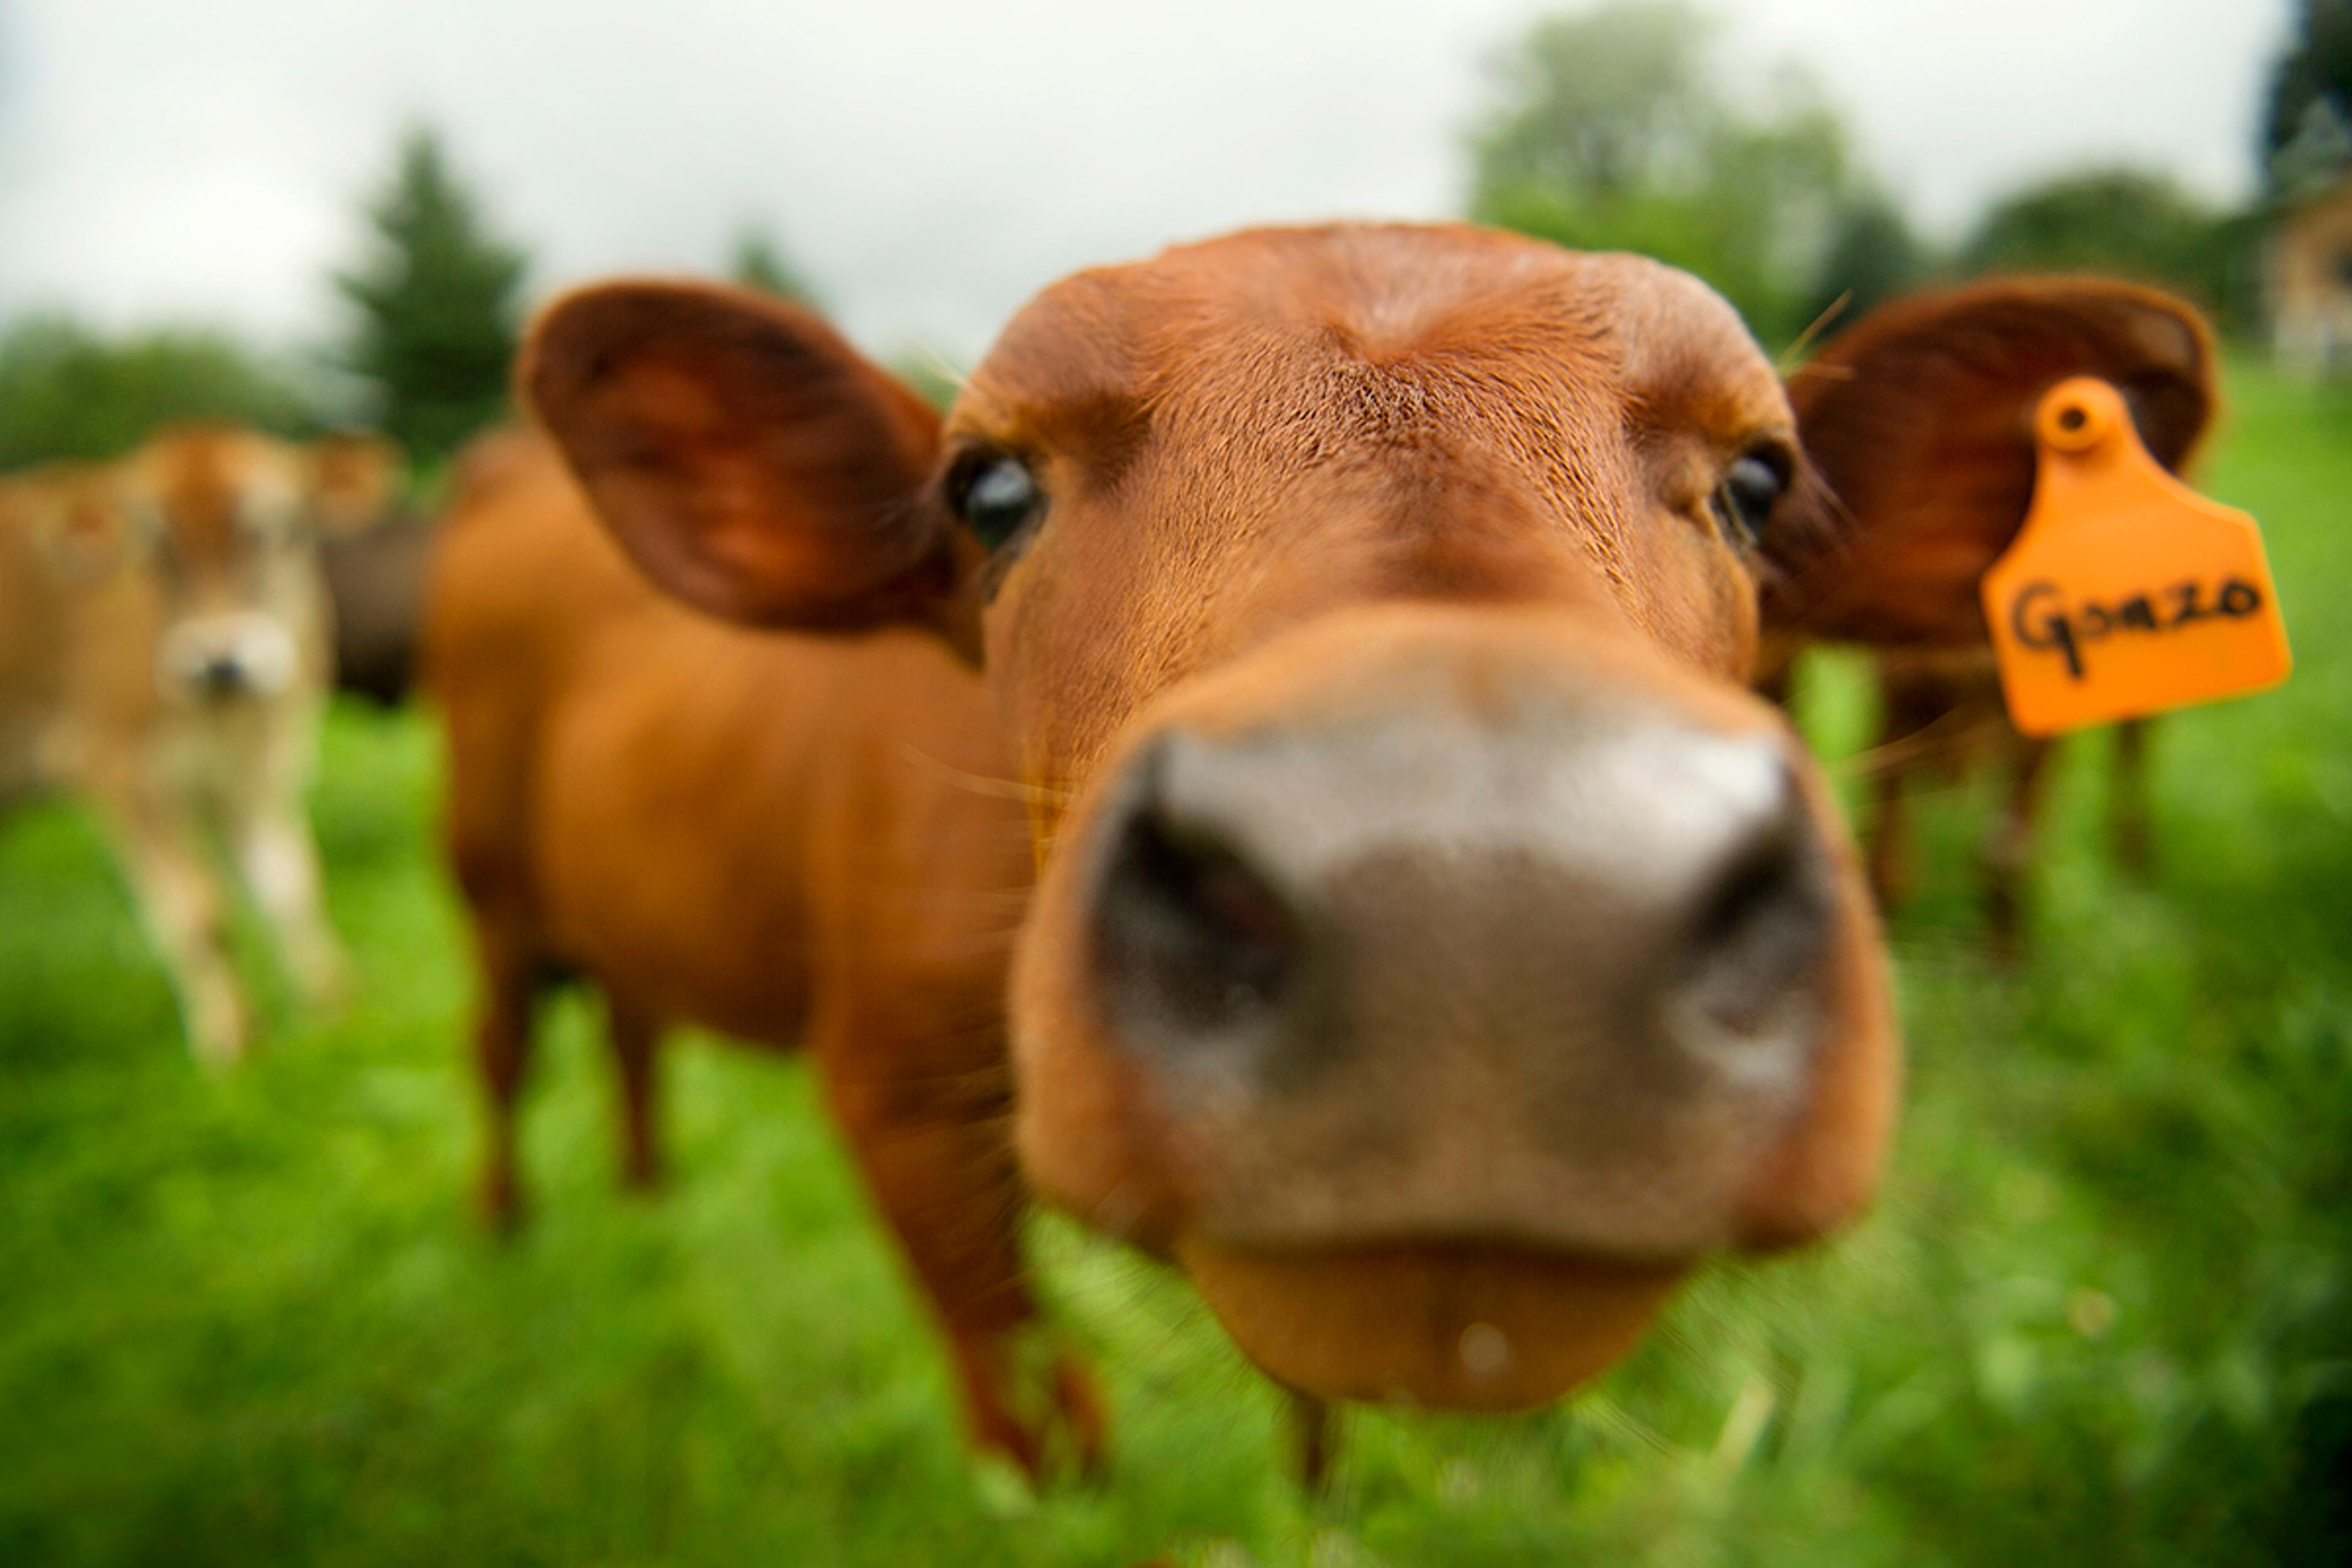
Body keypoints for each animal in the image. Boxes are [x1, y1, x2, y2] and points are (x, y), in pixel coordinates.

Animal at [0, 430, 371, 1062]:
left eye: (281, 526)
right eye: (155, 544)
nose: (221, 662)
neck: (228, 719)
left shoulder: (256, 768)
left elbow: (289, 883)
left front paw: (331, 1014)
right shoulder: (115, 768)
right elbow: (198, 909)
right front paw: (233, 1042)